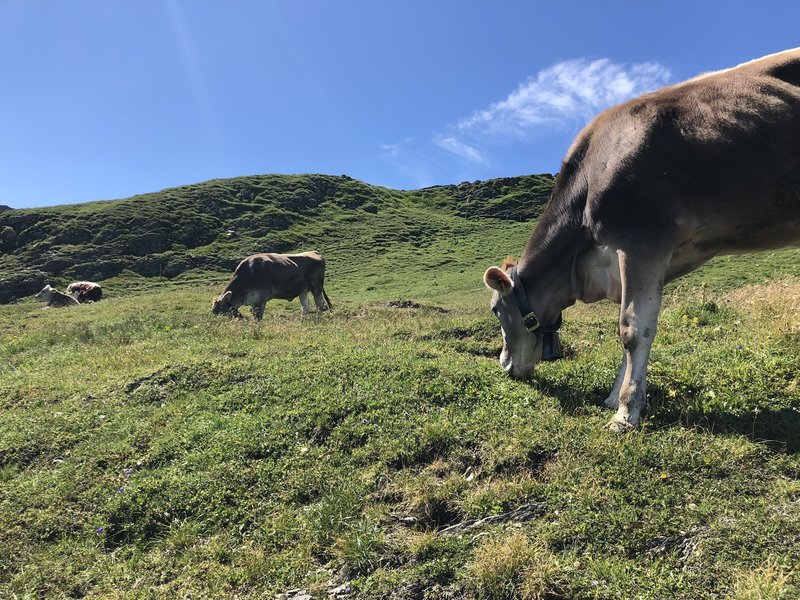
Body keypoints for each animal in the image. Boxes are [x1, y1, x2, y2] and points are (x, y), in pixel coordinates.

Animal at [482, 48, 800, 432]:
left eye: (496, 309)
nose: (503, 364)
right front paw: (612, 398)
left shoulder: (642, 242)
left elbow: (632, 329)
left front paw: (625, 413)